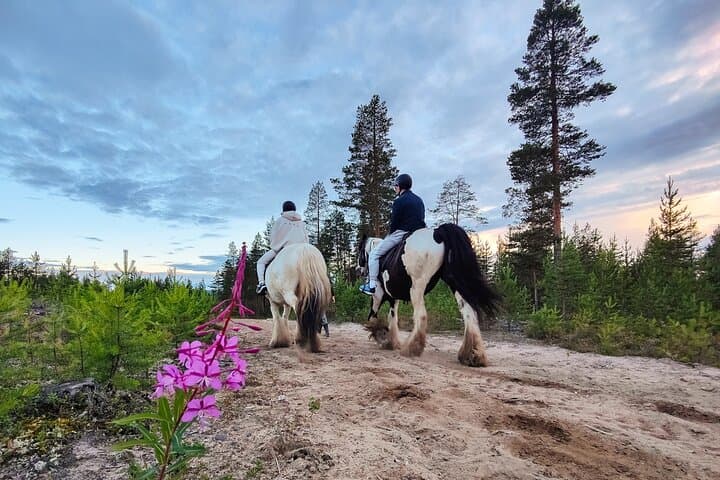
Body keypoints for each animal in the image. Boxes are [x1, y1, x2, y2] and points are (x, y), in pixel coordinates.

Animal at [357, 223, 501, 367]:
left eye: (360, 250)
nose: (359, 270)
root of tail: (437, 232)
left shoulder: (378, 294)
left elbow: (373, 315)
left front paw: (380, 336)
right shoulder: (393, 298)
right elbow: (392, 317)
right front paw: (390, 341)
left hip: (417, 287)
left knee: (421, 315)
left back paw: (412, 348)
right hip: (455, 283)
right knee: (469, 314)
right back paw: (472, 355)